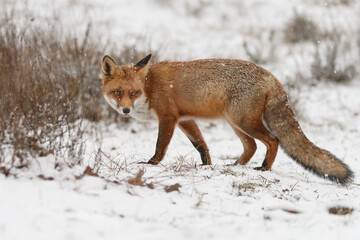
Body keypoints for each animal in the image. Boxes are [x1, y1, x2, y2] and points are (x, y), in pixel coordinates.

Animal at [100, 54, 352, 185]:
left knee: (273, 141)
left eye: (133, 93)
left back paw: (264, 167)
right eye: (117, 93)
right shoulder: (185, 120)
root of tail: (271, 76)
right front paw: (207, 166)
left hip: (244, 122)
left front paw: (150, 164)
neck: (150, 86)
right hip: (236, 124)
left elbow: (160, 146)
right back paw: (235, 166)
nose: (125, 110)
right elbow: (201, 145)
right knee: (251, 147)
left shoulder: (168, 118)